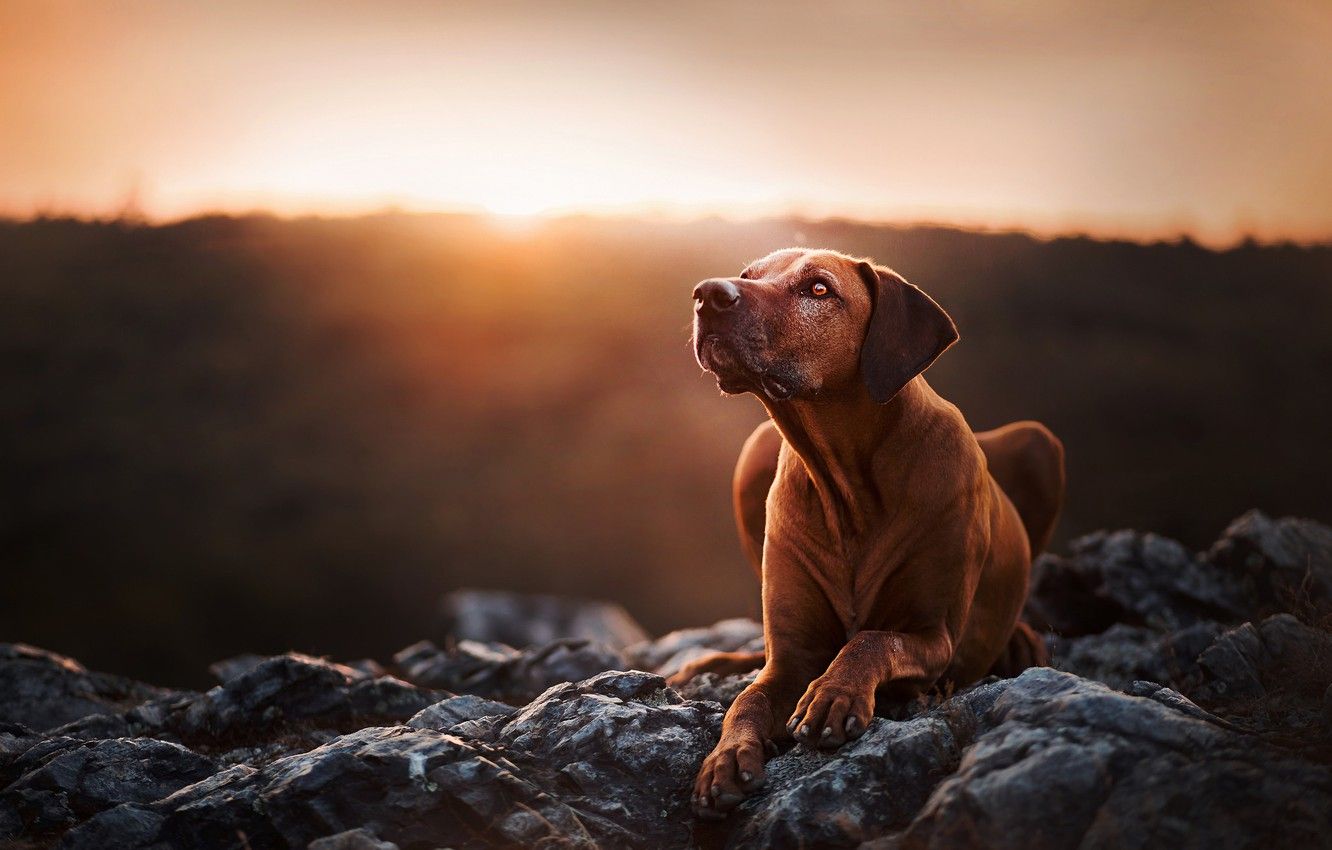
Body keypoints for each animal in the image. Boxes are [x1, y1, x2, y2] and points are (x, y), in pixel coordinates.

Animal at [676, 246, 1060, 820]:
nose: (708, 295)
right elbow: (748, 698)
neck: (848, 486)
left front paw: (834, 694)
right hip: (753, 450)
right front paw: (724, 759)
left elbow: (872, 640)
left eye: (818, 289)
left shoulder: (935, 635)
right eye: (748, 275)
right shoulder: (790, 659)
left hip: (1039, 441)